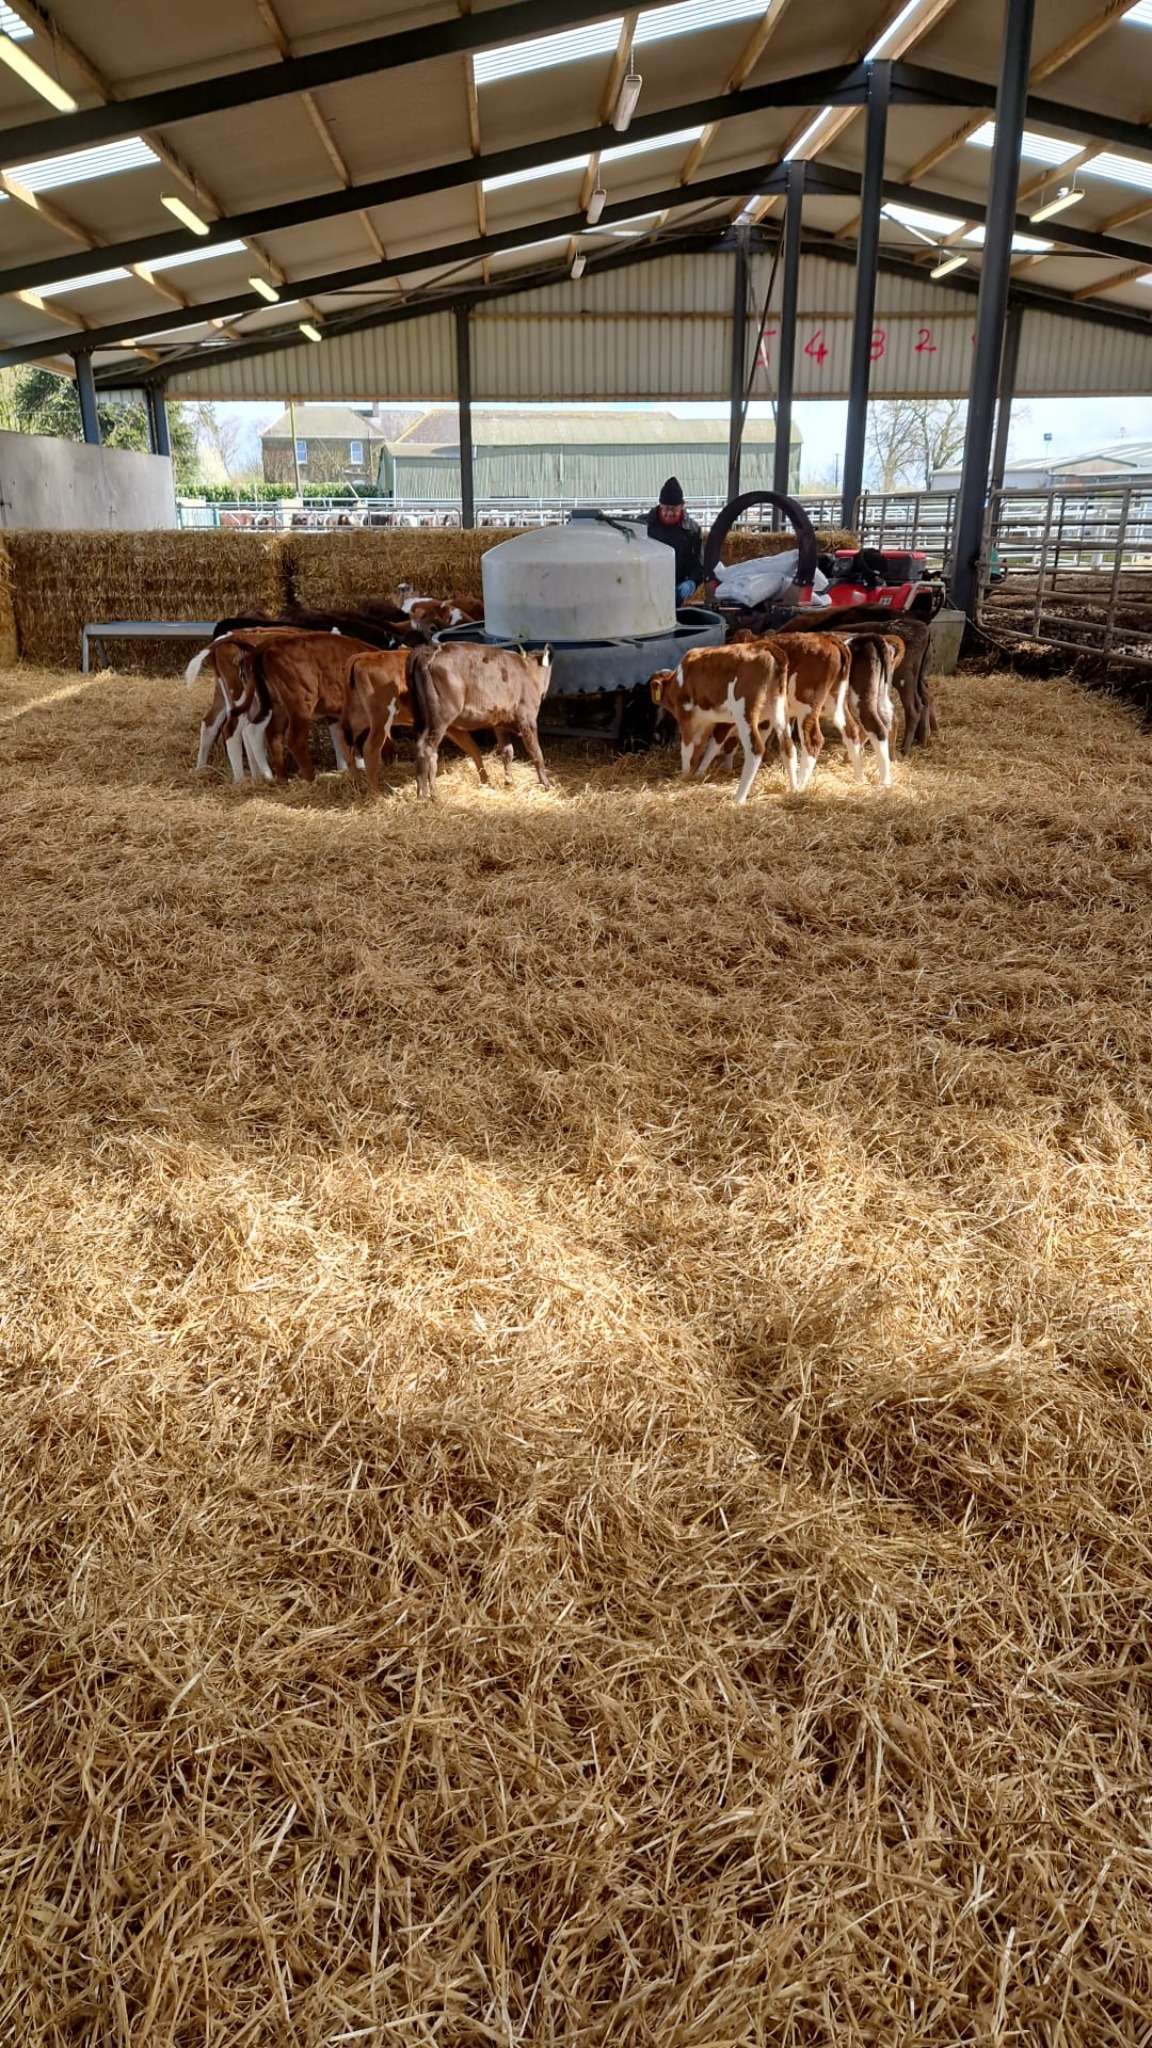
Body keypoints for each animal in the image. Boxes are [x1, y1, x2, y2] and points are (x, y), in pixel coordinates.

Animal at [406, 643, 553, 798]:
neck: (529, 671)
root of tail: (432, 649)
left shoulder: (500, 724)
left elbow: (507, 752)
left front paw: (509, 782)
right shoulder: (527, 720)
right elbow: (536, 753)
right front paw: (546, 784)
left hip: (432, 721)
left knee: (433, 754)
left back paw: (435, 795)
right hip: (440, 717)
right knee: (425, 749)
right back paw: (423, 796)